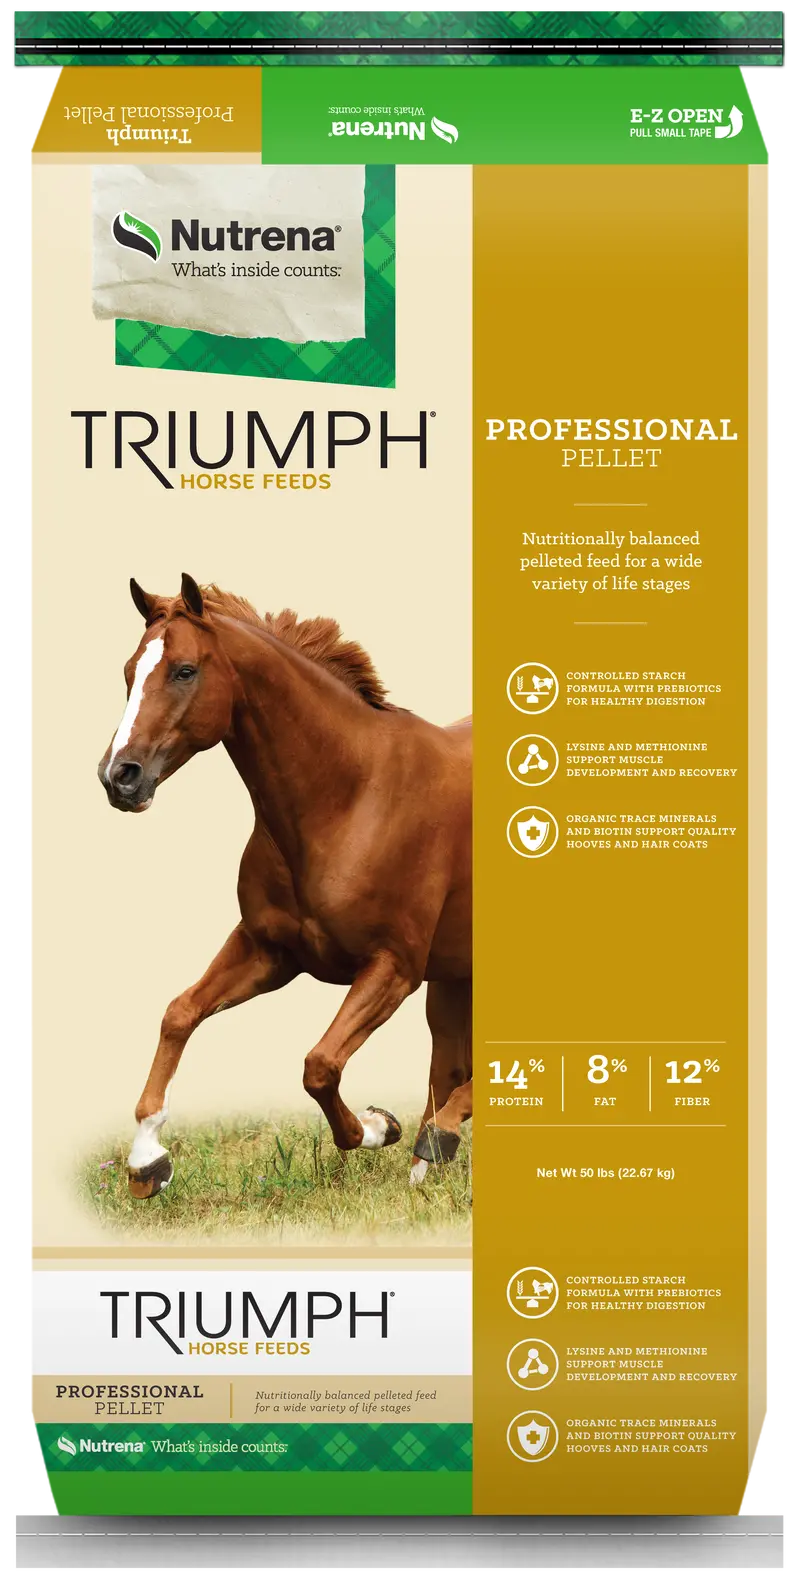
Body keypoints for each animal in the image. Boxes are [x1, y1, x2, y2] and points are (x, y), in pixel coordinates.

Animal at [97, 575, 473, 1199]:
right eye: (130, 671)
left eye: (184, 670)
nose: (119, 777)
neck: (351, 797)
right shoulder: (269, 951)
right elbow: (179, 1013)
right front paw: (147, 1161)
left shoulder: (393, 968)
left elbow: (319, 1066)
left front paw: (379, 1126)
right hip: (452, 975)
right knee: (448, 1062)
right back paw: (429, 1163)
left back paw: (435, 1138)